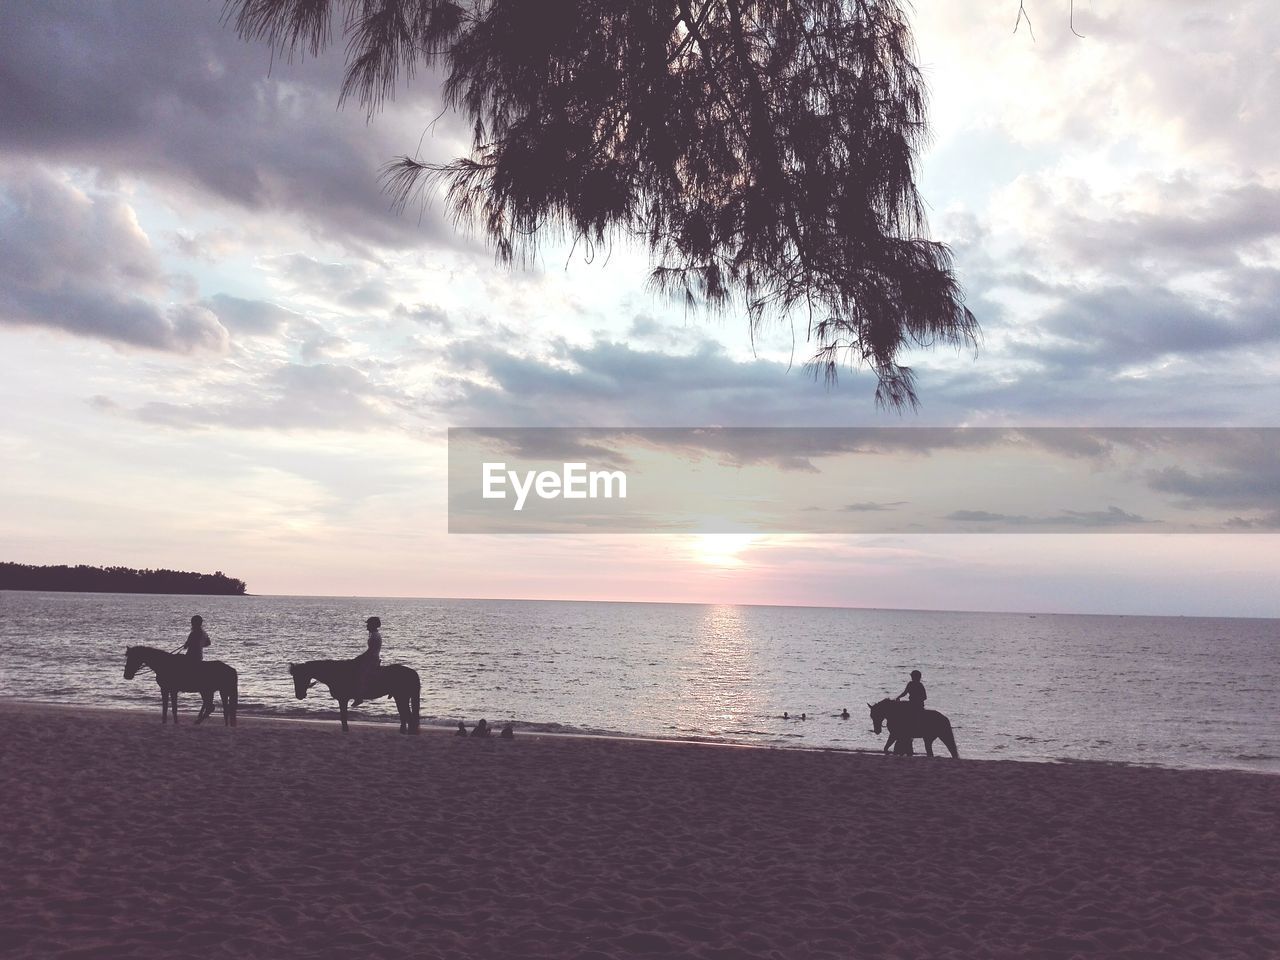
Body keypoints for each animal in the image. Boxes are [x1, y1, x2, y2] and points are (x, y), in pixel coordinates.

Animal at [289, 660, 419, 737]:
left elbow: (343, 716)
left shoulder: (343, 699)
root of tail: (412, 672)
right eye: (294, 678)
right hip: (400, 698)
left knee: (407, 715)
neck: (335, 673)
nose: (299, 695)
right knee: (404, 715)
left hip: (402, 697)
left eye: (300, 676)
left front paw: (345, 729)